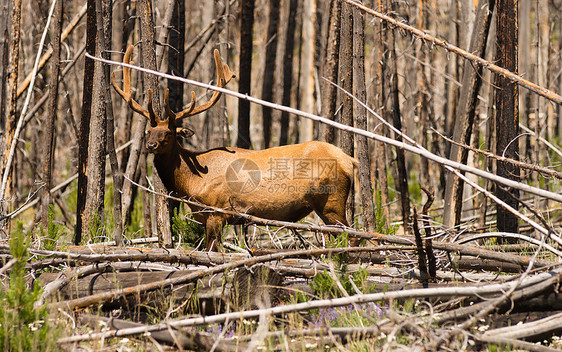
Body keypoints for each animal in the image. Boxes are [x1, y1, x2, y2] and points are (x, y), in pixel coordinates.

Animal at [112, 45, 356, 250]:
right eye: (148, 131)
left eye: (169, 133)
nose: (150, 145)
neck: (191, 184)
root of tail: (349, 160)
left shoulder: (217, 211)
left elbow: (212, 251)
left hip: (331, 201)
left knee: (353, 236)